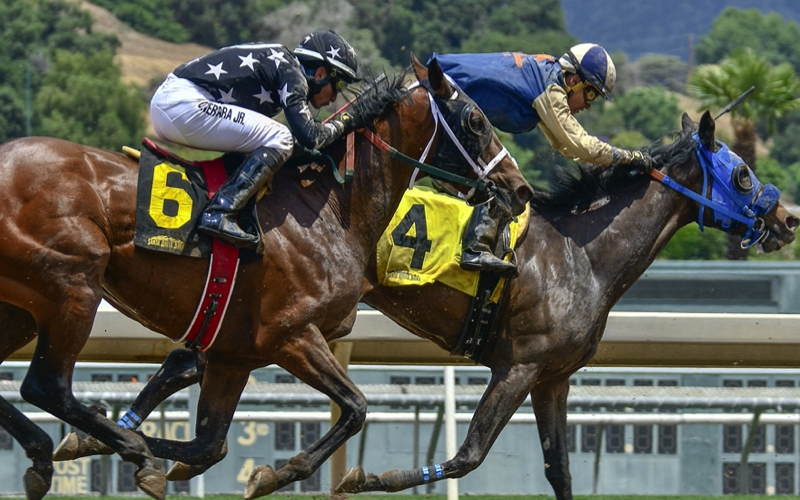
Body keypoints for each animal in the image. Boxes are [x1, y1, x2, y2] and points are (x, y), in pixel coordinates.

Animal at [0, 56, 536, 500]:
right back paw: (122, 449)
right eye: (476, 120)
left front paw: (102, 447)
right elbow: (356, 407)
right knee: (46, 386)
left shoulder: (234, 353)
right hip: (74, 285)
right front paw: (277, 474)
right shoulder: (290, 334)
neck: (328, 207)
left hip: (22, 308)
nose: (519, 188)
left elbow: (208, 446)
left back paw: (54, 453)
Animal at [53, 110, 796, 500]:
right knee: (194, 358)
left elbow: (558, 470)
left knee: (190, 358)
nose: (785, 217)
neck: (582, 256)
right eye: (741, 174)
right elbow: (468, 454)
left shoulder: (554, 378)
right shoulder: (519, 367)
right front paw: (364, 477)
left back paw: (98, 437)